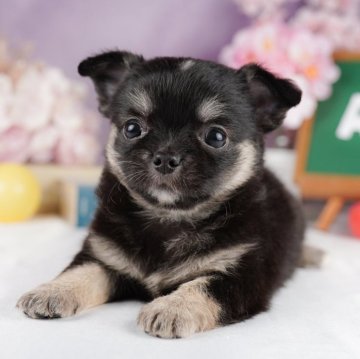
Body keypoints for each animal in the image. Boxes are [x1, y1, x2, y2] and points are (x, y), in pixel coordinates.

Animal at [16, 51, 304, 340]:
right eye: (132, 128)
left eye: (216, 136)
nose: (165, 157)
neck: (168, 217)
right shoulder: (104, 257)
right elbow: (81, 271)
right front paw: (51, 291)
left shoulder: (242, 275)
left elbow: (204, 286)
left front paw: (173, 308)